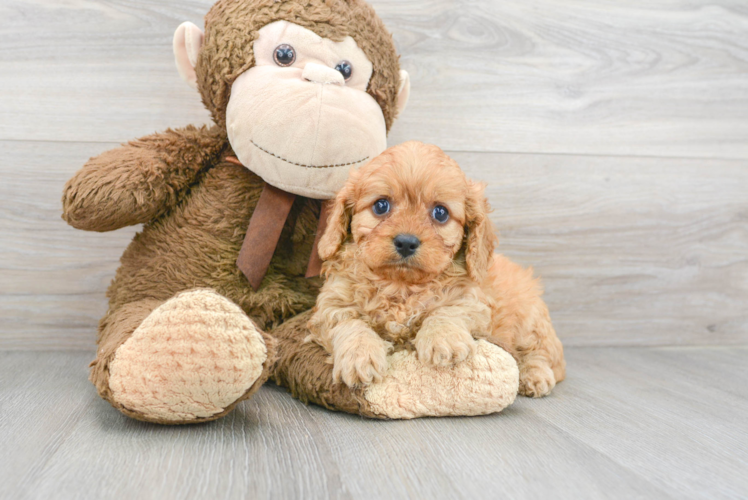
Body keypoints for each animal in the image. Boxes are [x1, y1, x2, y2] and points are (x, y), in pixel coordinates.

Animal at [306, 142, 564, 398]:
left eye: (441, 213)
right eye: (381, 206)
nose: (406, 242)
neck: (400, 285)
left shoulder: (471, 301)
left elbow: (446, 312)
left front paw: (443, 340)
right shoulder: (331, 306)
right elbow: (350, 324)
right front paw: (359, 357)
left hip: (531, 323)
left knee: (542, 354)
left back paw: (534, 376)